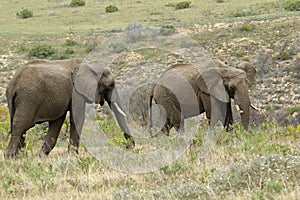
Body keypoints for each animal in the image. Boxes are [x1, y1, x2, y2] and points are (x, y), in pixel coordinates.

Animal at [4, 58, 134, 159]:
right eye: (110, 85)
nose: (128, 147)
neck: (91, 65)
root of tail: (14, 82)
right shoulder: (76, 91)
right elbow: (77, 117)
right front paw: (73, 156)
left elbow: (57, 121)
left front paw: (40, 157)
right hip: (28, 98)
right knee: (20, 125)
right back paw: (10, 157)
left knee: (16, 124)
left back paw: (21, 157)